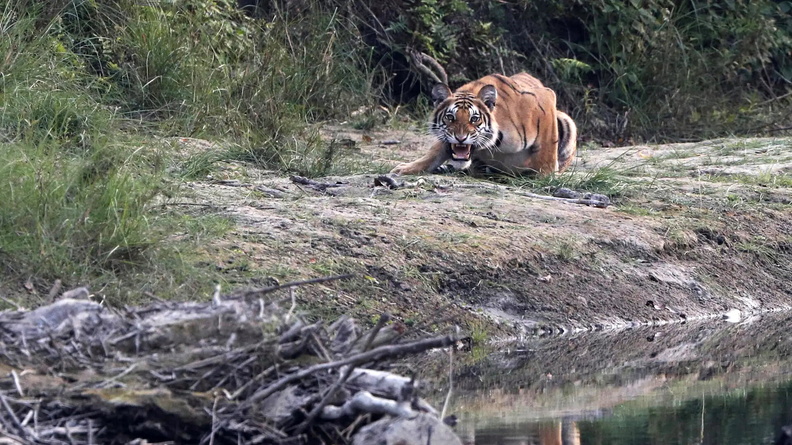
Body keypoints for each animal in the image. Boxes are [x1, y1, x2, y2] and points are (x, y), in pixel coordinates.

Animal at [390, 72, 577, 176]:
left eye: (474, 119)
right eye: (450, 117)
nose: (460, 138)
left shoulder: (546, 99)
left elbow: (547, 146)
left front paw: (545, 175)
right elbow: (434, 152)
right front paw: (405, 168)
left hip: (567, 122)